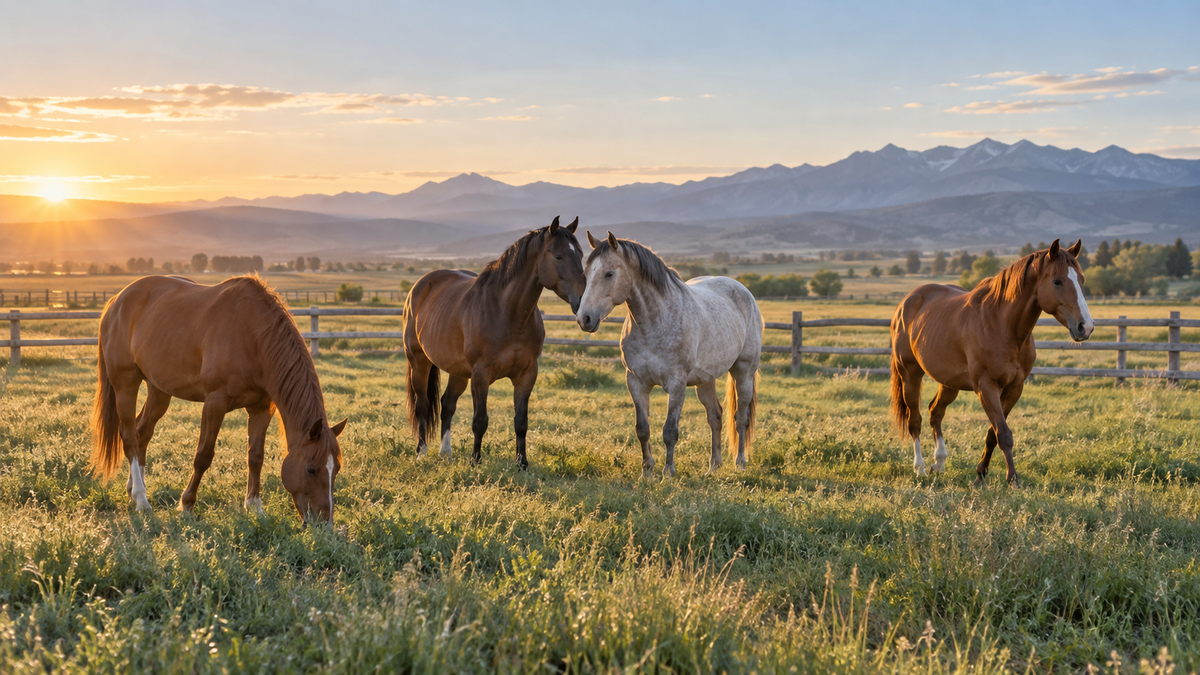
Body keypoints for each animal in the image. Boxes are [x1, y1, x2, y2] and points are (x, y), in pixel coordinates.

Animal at [89, 275, 348, 524]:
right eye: (311, 469)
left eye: (336, 469)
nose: (324, 523)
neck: (253, 336)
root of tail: (116, 301)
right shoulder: (215, 403)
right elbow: (203, 456)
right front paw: (187, 505)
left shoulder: (261, 408)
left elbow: (256, 456)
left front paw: (254, 507)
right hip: (126, 385)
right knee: (130, 437)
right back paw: (141, 499)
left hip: (159, 391)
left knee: (142, 432)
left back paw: (134, 488)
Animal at [404, 216, 586, 468]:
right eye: (558, 256)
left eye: (581, 255)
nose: (583, 300)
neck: (508, 313)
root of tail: (420, 286)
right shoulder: (481, 374)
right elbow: (480, 420)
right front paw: (475, 461)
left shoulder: (527, 374)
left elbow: (521, 421)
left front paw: (522, 463)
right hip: (418, 362)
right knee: (422, 405)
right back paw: (422, 452)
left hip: (458, 371)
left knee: (447, 405)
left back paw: (446, 452)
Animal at [576, 231, 762, 478]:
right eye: (586, 273)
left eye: (609, 273)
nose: (584, 318)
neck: (653, 323)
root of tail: (742, 290)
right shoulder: (635, 382)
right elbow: (642, 429)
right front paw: (646, 471)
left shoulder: (676, 384)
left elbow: (670, 431)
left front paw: (668, 471)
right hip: (706, 380)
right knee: (715, 416)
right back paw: (713, 466)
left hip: (743, 372)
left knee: (740, 418)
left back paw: (739, 463)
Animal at [889, 239, 1094, 487]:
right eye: (1057, 281)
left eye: (1081, 280)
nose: (1086, 327)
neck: (1003, 326)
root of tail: (907, 302)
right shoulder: (986, 387)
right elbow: (1003, 434)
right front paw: (1013, 479)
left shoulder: (1014, 389)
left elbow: (992, 434)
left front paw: (980, 474)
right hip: (910, 374)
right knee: (915, 420)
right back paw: (919, 468)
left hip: (949, 383)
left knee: (935, 412)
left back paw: (939, 463)